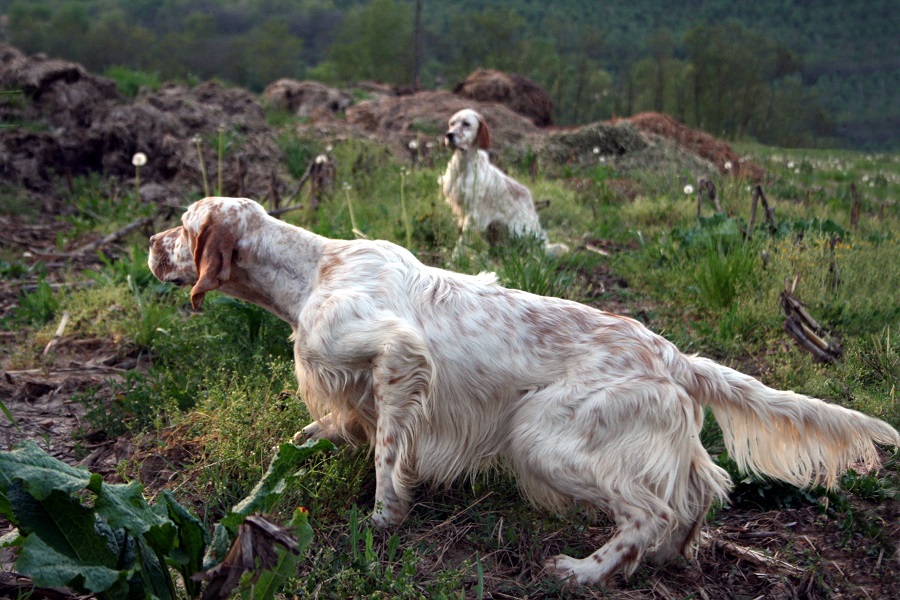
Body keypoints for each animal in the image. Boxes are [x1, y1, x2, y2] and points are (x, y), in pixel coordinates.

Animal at [151, 196, 896, 584]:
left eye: (184, 228)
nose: (151, 248)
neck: (313, 273)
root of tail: (674, 355)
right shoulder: (345, 404)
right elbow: (292, 448)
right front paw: (245, 506)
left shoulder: (398, 358)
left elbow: (390, 456)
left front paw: (383, 522)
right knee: (697, 493)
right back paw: (658, 561)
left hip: (539, 435)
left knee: (648, 512)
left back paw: (584, 573)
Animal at [438, 109, 568, 254]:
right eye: (452, 123)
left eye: (466, 124)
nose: (448, 135)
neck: (463, 166)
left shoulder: (473, 214)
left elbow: (462, 241)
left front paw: (455, 257)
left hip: (519, 232)